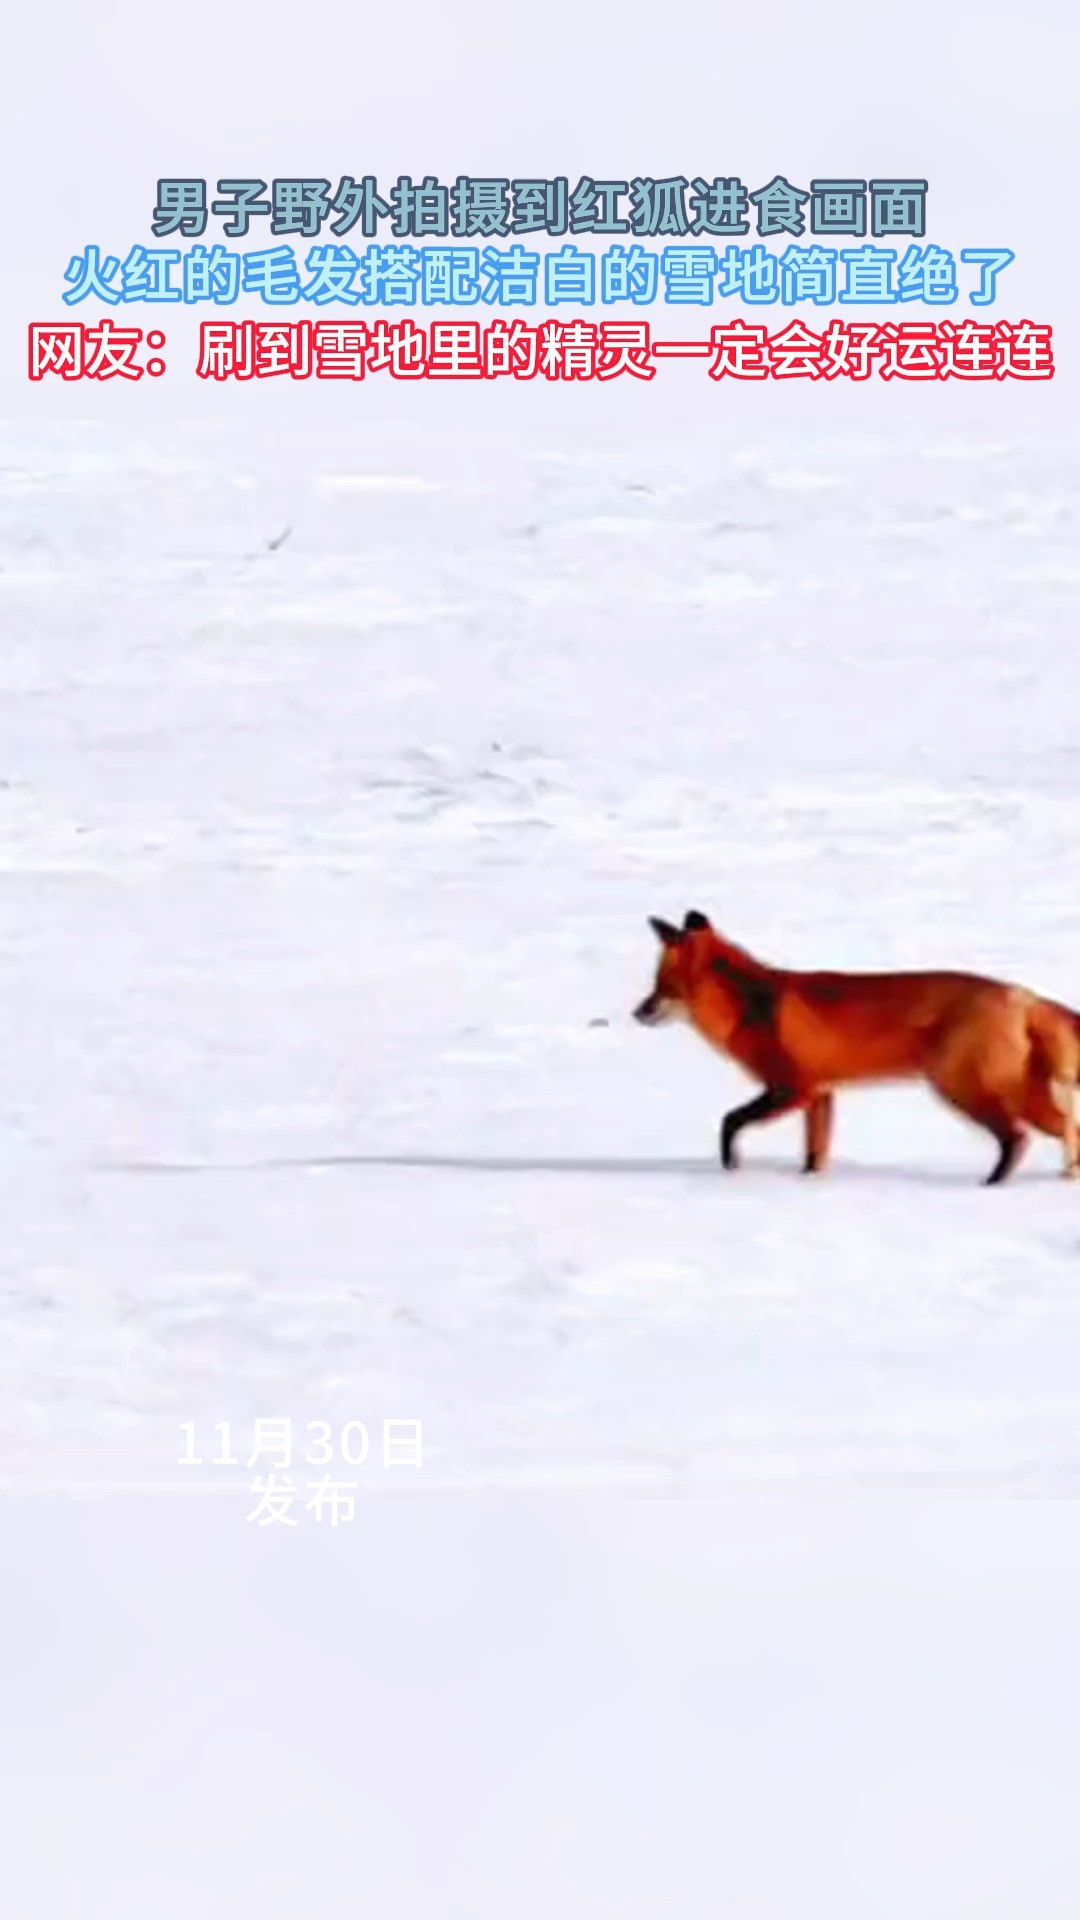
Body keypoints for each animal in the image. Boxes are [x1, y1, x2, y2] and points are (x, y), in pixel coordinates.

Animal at [630, 906, 1076, 1175]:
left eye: (663, 986)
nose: (637, 1012)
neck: (753, 1007)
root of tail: (1019, 993)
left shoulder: (793, 1088)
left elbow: (729, 1121)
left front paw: (730, 1166)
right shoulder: (821, 1094)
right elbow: (815, 1155)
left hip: (968, 1089)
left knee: (1019, 1138)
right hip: (1018, 1091)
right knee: (1068, 1128)